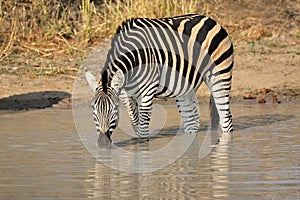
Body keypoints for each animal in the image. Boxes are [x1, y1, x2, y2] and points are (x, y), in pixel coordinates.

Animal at [85, 14, 234, 145]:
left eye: (114, 108)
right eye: (93, 108)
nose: (103, 143)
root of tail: (210, 19)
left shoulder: (147, 90)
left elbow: (143, 130)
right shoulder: (125, 94)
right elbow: (135, 123)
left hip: (220, 75)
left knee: (226, 120)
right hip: (186, 87)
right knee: (192, 122)